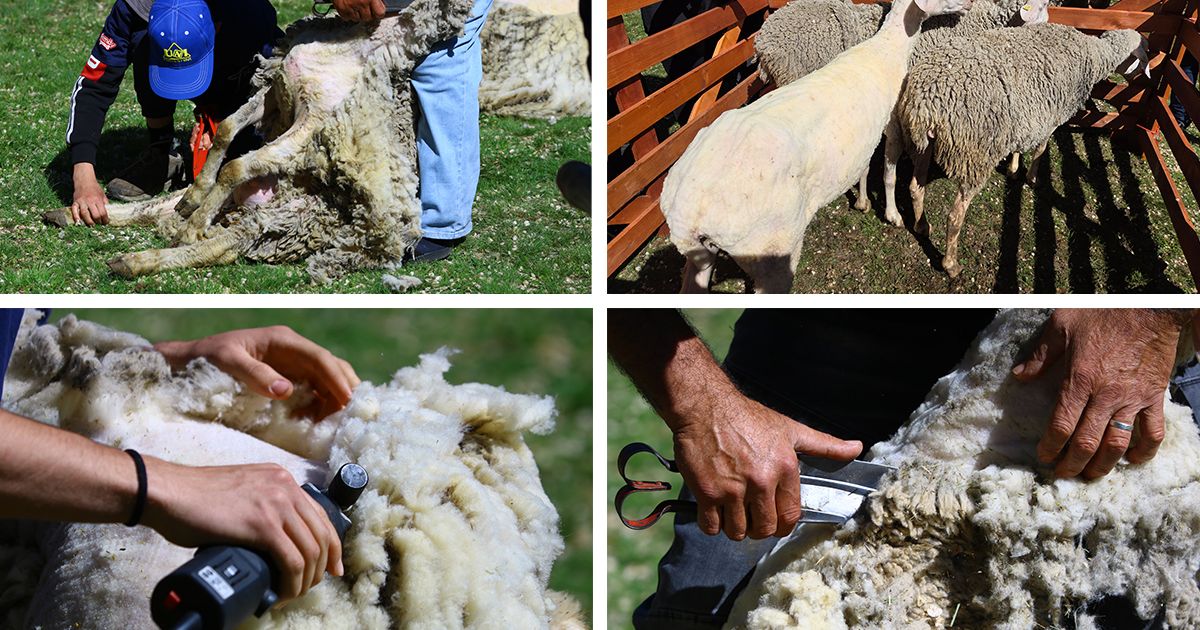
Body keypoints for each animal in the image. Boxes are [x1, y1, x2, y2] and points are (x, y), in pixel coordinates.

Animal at [659, 0, 973, 294]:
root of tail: (692, 211)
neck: (886, 49)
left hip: (701, 257)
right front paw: (893, 215)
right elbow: (888, 173)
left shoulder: (862, 139)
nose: (969, 5)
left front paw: (862, 202)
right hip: (771, 251)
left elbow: (863, 169)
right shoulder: (892, 124)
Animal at [885, 24, 1149, 277]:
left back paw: (921, 226)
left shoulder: (1027, 114)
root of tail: (925, 102)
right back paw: (951, 266)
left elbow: (1019, 147)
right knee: (954, 216)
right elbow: (1041, 148)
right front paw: (1032, 178)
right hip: (975, 156)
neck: (1096, 54)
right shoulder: (1052, 116)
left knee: (915, 187)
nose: (1141, 82)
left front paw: (1013, 169)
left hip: (920, 144)